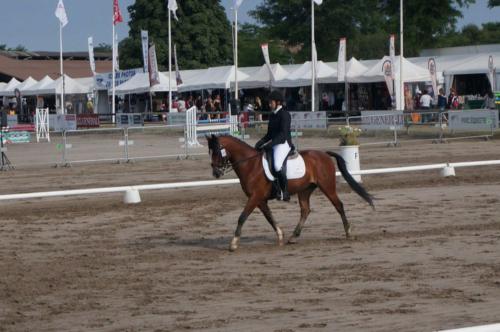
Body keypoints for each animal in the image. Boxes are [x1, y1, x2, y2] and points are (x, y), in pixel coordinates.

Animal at [205, 134, 374, 250]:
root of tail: (324, 154)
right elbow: (269, 217)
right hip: (305, 190)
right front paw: (280, 235)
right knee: (305, 210)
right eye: (209, 152)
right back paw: (293, 237)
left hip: (327, 187)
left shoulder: (255, 197)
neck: (250, 164)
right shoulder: (260, 199)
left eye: (217, 151)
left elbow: (242, 217)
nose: (216, 173)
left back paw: (349, 233)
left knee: (339, 205)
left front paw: (233, 244)